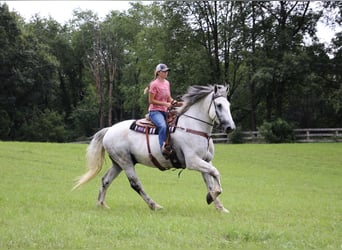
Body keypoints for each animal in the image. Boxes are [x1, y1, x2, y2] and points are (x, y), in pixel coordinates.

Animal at [73, 84, 235, 213]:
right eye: (219, 105)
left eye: (228, 104)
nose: (230, 127)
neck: (193, 127)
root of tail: (109, 130)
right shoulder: (192, 161)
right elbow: (216, 173)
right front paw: (213, 196)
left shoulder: (206, 161)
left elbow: (210, 181)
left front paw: (219, 206)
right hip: (126, 162)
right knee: (135, 184)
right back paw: (154, 205)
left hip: (118, 164)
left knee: (105, 180)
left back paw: (101, 204)